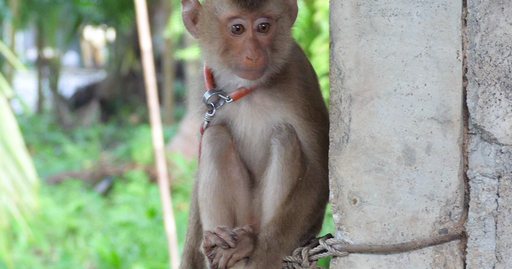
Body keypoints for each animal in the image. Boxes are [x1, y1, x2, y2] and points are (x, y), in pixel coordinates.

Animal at [180, 0, 330, 266]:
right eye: (237, 29)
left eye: (263, 27)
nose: (254, 55)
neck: (245, 89)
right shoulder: (204, 91)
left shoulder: (300, 78)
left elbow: (319, 173)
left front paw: (259, 259)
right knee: (215, 136)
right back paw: (217, 244)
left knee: (284, 137)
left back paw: (246, 245)